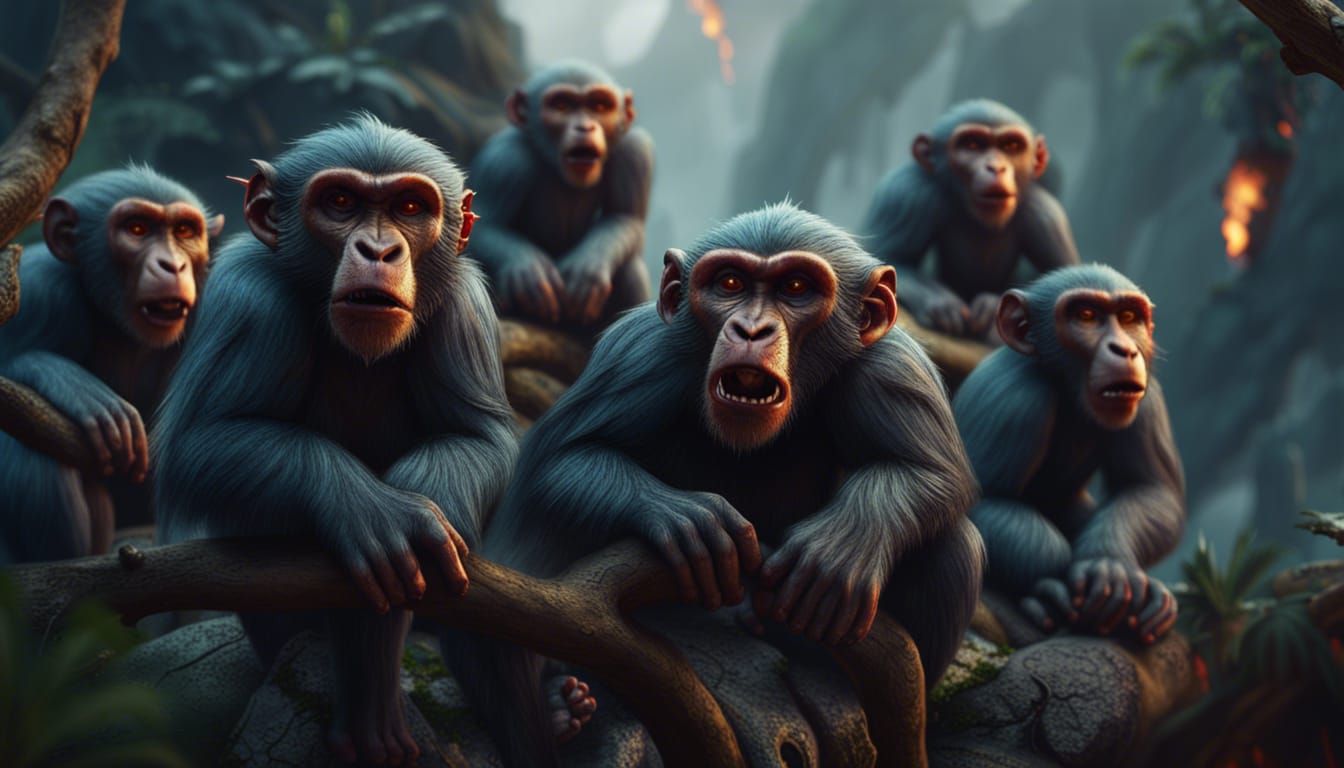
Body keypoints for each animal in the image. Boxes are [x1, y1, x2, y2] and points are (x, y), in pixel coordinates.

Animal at [151, 116, 555, 765]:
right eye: (340, 202)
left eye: (410, 207)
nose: (380, 250)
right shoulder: (246, 294)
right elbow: (205, 440)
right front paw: (376, 512)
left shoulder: (467, 305)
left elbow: (477, 434)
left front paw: (423, 499)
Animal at [445, 202, 984, 767]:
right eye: (729, 282)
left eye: (796, 287)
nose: (751, 328)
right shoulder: (641, 353)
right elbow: (565, 455)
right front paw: (687, 519)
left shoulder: (894, 368)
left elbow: (928, 470)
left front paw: (840, 549)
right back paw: (555, 709)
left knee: (953, 546)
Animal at [469, 60, 653, 332]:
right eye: (561, 106)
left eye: (600, 106)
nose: (584, 126)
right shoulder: (503, 160)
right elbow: (485, 225)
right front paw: (527, 267)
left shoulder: (634, 151)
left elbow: (624, 217)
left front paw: (587, 267)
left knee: (629, 270)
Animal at [862, 99, 1079, 342]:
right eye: (972, 144)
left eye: (1012, 146)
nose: (996, 167)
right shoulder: (905, 193)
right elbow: (889, 260)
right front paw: (940, 302)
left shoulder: (1046, 215)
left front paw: (994, 307)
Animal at [954, 264, 1184, 644]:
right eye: (1086, 316)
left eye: (1129, 317)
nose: (1124, 349)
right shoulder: (1016, 400)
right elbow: (979, 502)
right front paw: (1059, 585)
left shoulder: (1148, 400)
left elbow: (1152, 490)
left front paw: (1108, 561)